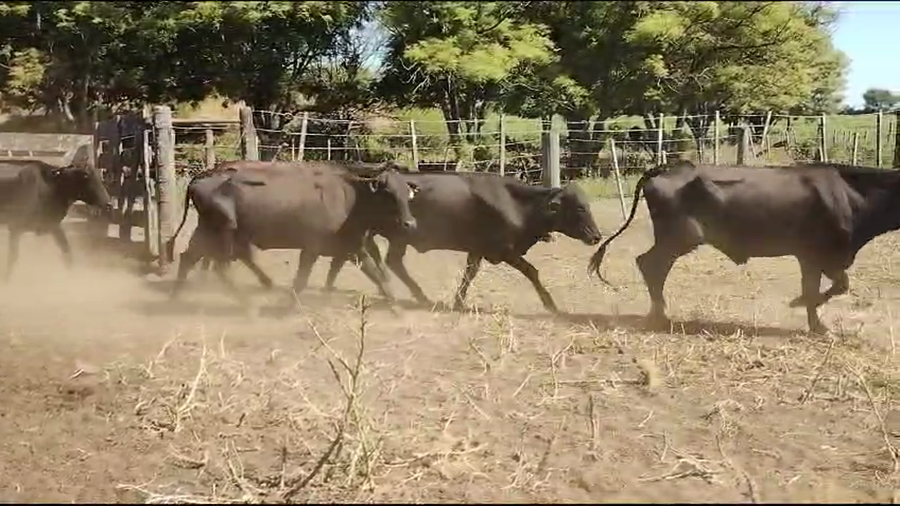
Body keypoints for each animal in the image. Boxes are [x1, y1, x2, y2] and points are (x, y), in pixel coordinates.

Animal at [165, 160, 419, 306]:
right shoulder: (313, 248)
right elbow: (302, 279)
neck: (349, 197)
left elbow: (375, 275)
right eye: (388, 193)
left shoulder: (352, 247)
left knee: (189, 258)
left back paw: (176, 297)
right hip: (224, 232)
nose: (410, 223)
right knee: (222, 267)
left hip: (206, 230)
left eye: (407, 193)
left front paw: (395, 308)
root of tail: (200, 179)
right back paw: (247, 305)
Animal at [321, 172, 603, 313]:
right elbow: (532, 271)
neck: (516, 203)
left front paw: (458, 301)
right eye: (579, 208)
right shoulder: (504, 250)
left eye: (587, 205)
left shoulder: (477, 250)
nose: (597, 236)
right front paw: (550, 304)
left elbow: (470, 273)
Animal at [587, 161, 900, 335]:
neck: (850, 193)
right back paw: (659, 316)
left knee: (652, 267)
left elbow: (814, 289)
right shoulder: (826, 255)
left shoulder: (809, 257)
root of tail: (669, 167)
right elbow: (837, 286)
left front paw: (816, 325)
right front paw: (801, 307)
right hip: (679, 238)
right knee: (650, 265)